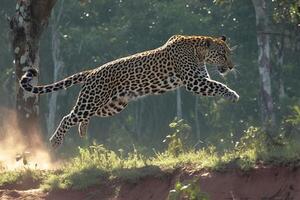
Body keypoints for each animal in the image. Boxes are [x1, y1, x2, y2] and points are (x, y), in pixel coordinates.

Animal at [19, 34, 239, 148]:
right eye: (222, 54)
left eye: (229, 53)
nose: (231, 66)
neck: (199, 52)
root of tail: (92, 72)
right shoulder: (194, 81)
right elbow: (218, 85)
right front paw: (233, 95)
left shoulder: (200, 79)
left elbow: (215, 84)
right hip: (92, 100)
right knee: (68, 117)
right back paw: (55, 141)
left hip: (111, 105)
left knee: (83, 116)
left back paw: (82, 130)